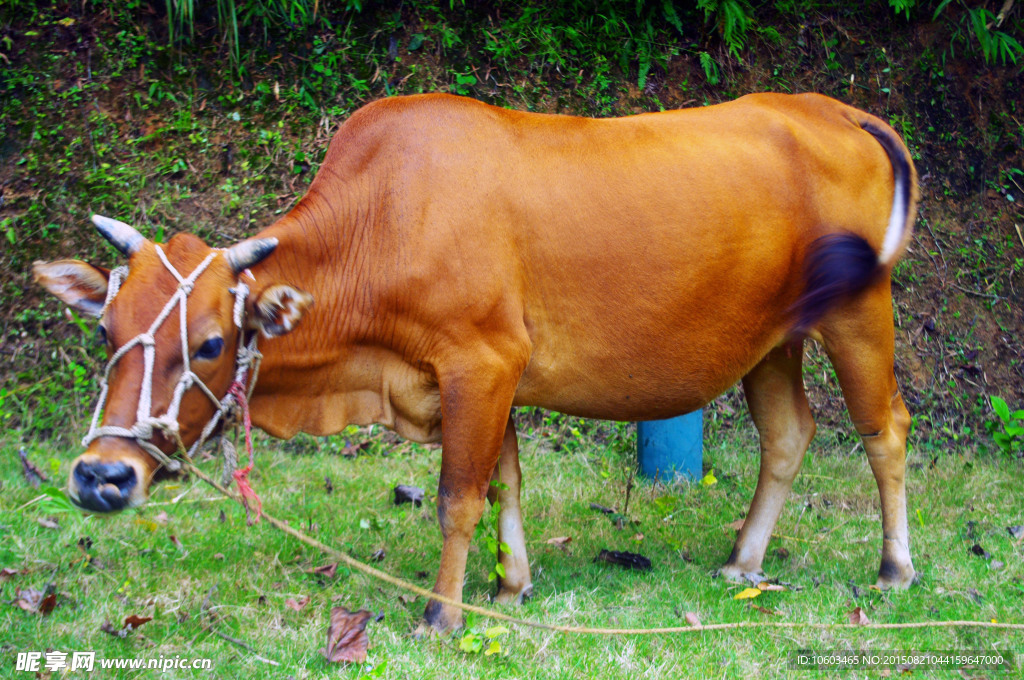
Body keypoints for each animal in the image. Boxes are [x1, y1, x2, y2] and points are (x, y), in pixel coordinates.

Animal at [34, 91, 921, 630]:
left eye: (212, 343)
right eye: (108, 332)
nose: (102, 476)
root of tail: (835, 109)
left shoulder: (482, 363)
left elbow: (457, 496)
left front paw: (443, 612)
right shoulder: (486, 379)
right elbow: (505, 483)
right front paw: (510, 584)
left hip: (859, 311)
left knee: (886, 430)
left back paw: (895, 567)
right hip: (772, 338)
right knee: (789, 433)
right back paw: (743, 560)